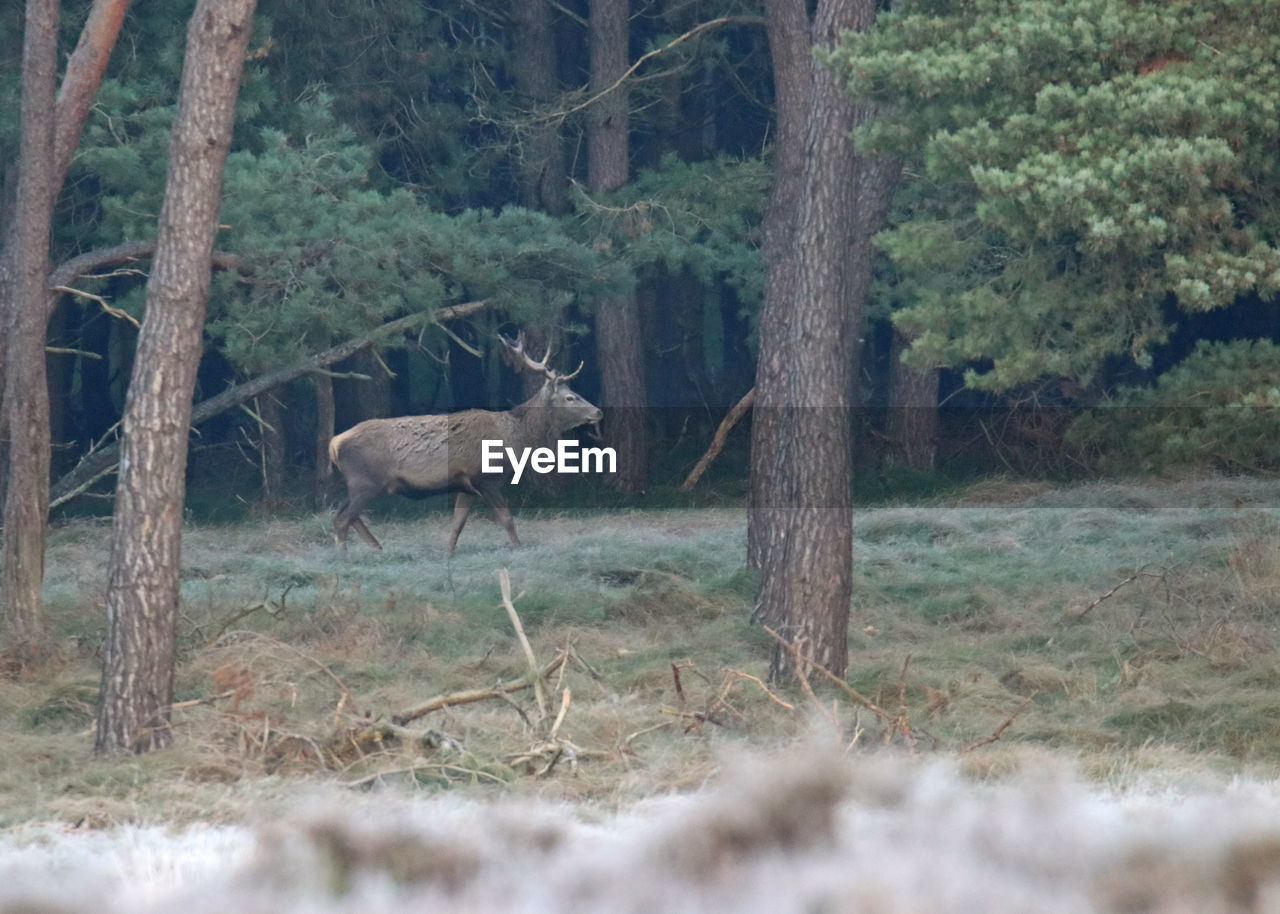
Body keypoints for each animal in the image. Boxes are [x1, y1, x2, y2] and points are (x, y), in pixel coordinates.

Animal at [327, 330, 601, 553]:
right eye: (570, 397)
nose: (598, 412)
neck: (514, 438)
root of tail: (334, 443)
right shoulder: (485, 477)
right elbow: (507, 518)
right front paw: (518, 547)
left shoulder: (465, 484)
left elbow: (458, 524)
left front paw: (448, 553)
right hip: (365, 480)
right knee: (343, 519)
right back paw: (344, 555)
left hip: (359, 483)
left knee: (346, 516)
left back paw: (378, 548)